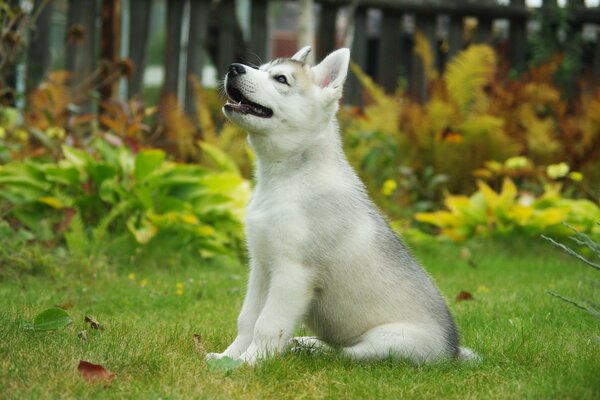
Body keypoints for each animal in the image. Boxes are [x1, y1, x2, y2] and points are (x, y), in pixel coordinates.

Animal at [206, 47, 478, 366]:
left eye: (281, 79)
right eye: (261, 69)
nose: (233, 68)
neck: (285, 178)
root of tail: (453, 352)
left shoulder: (293, 272)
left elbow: (267, 324)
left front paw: (249, 362)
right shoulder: (261, 267)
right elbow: (247, 319)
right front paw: (227, 357)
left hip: (386, 342)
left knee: (346, 354)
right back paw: (305, 343)